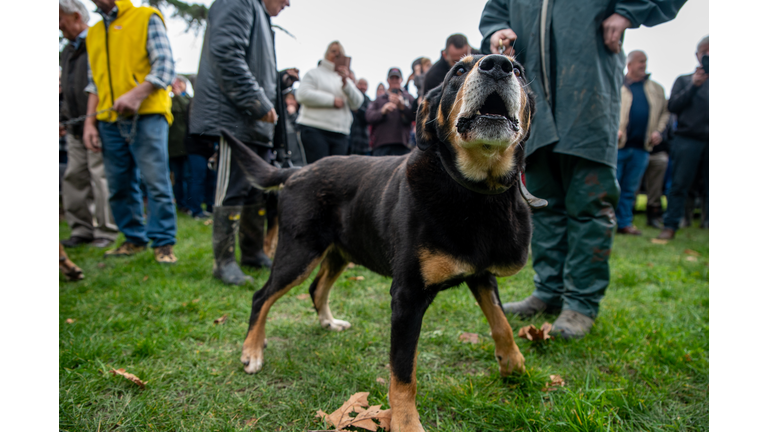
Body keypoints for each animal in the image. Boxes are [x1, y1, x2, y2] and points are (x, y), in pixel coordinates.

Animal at [226, 54, 540, 432]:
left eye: (519, 72)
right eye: (459, 70)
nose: (498, 65)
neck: (473, 192)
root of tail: (297, 170)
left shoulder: (480, 274)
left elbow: (501, 322)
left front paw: (514, 364)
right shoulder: (407, 297)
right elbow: (403, 374)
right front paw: (406, 422)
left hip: (340, 252)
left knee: (317, 288)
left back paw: (328, 322)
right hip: (298, 253)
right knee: (262, 297)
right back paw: (252, 352)